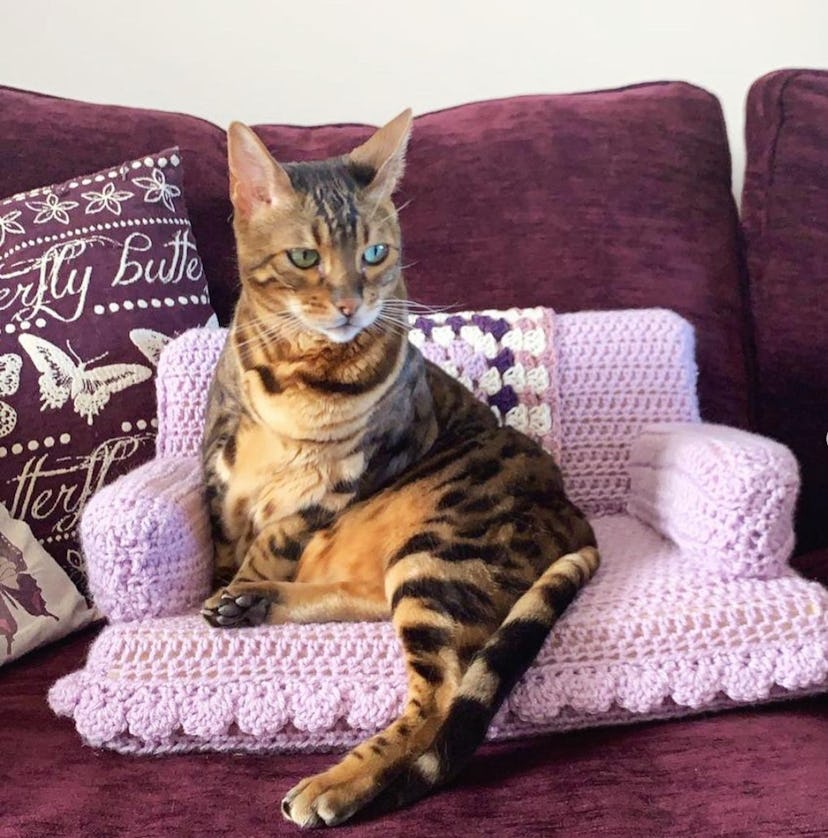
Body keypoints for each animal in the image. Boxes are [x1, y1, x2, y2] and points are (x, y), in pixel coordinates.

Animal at [201, 110, 600, 828]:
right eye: (305, 258)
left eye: (375, 254)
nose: (350, 304)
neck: (299, 375)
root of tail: (572, 509)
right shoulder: (219, 467)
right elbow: (227, 541)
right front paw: (228, 587)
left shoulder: (340, 484)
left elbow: (273, 541)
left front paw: (242, 580)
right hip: (412, 561)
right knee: (361, 597)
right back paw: (250, 604)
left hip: (438, 552)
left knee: (437, 706)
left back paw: (335, 785)